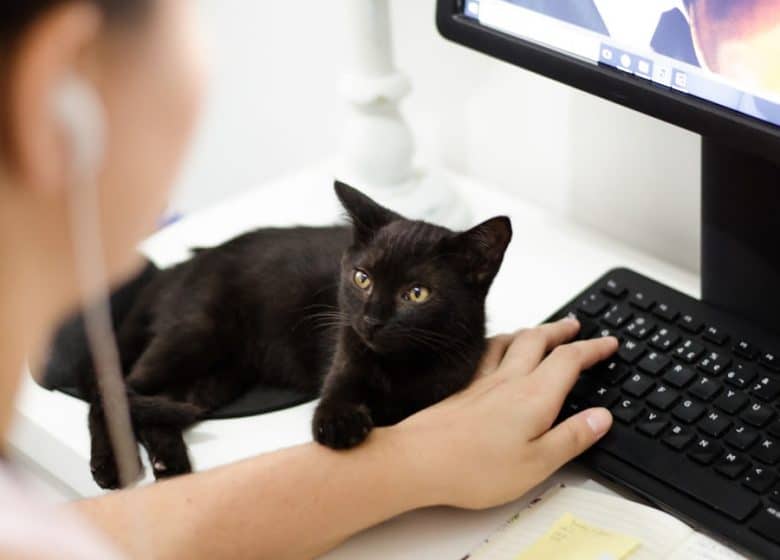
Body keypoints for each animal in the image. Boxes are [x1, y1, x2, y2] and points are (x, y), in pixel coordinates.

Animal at [80, 182, 512, 488]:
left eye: (416, 293)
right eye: (363, 279)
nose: (371, 320)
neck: (401, 365)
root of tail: (182, 264)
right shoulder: (345, 354)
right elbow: (336, 400)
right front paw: (340, 424)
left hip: (215, 380)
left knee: (157, 404)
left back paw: (169, 461)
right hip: (196, 333)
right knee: (112, 388)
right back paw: (110, 465)